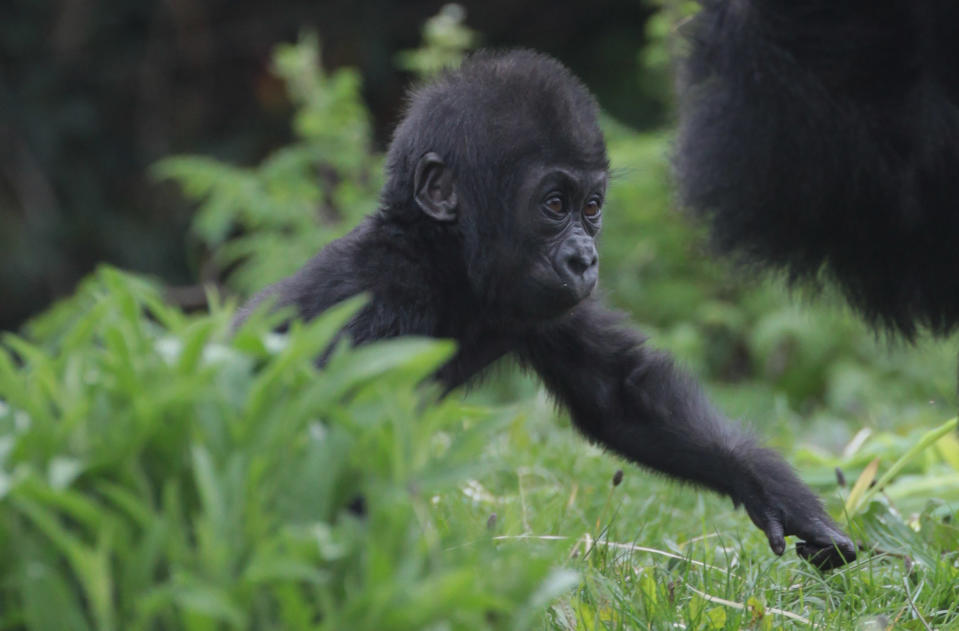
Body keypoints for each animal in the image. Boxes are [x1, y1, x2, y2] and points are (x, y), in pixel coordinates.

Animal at [240, 49, 856, 572]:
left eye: (591, 207)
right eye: (555, 205)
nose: (585, 258)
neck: (441, 260)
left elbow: (620, 393)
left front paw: (772, 490)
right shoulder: (376, 307)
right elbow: (332, 442)